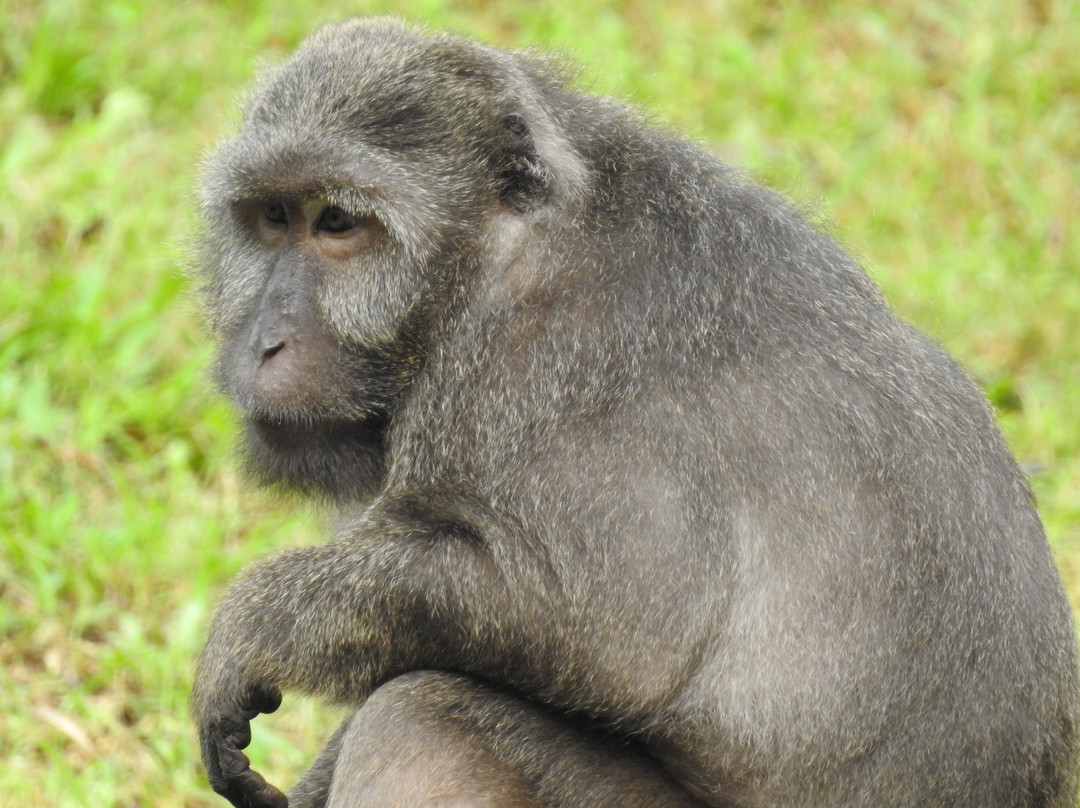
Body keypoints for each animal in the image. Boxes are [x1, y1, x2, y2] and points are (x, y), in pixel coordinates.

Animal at [192, 18, 1080, 808]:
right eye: (273, 218)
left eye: (338, 223)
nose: (263, 340)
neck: (490, 259)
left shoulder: (537, 364)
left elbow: (617, 631)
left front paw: (261, 622)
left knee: (421, 718)